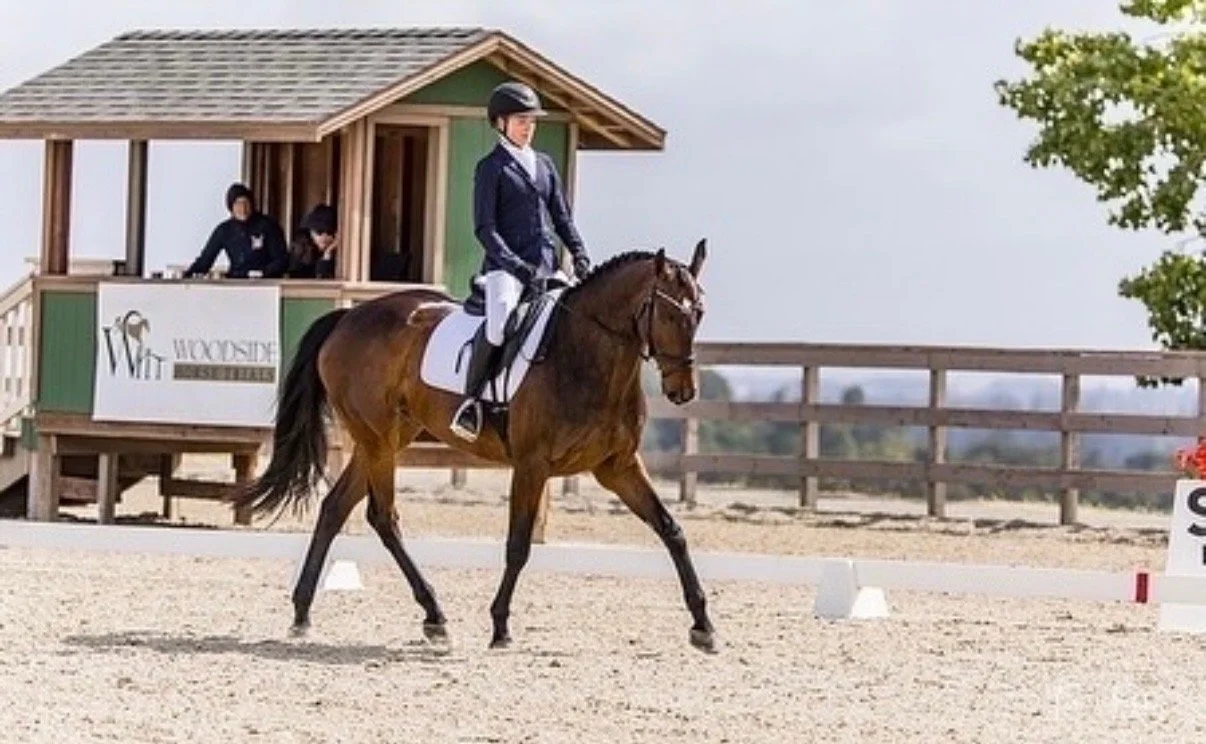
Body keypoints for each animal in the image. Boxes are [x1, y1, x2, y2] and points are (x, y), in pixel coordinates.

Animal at [230, 239, 716, 651]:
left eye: (700, 315)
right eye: (670, 316)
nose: (684, 392)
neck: (585, 356)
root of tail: (347, 318)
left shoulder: (618, 466)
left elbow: (672, 530)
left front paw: (703, 626)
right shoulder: (532, 465)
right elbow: (518, 545)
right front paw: (500, 627)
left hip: (385, 439)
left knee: (335, 508)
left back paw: (305, 613)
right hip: (377, 438)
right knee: (382, 516)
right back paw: (433, 614)